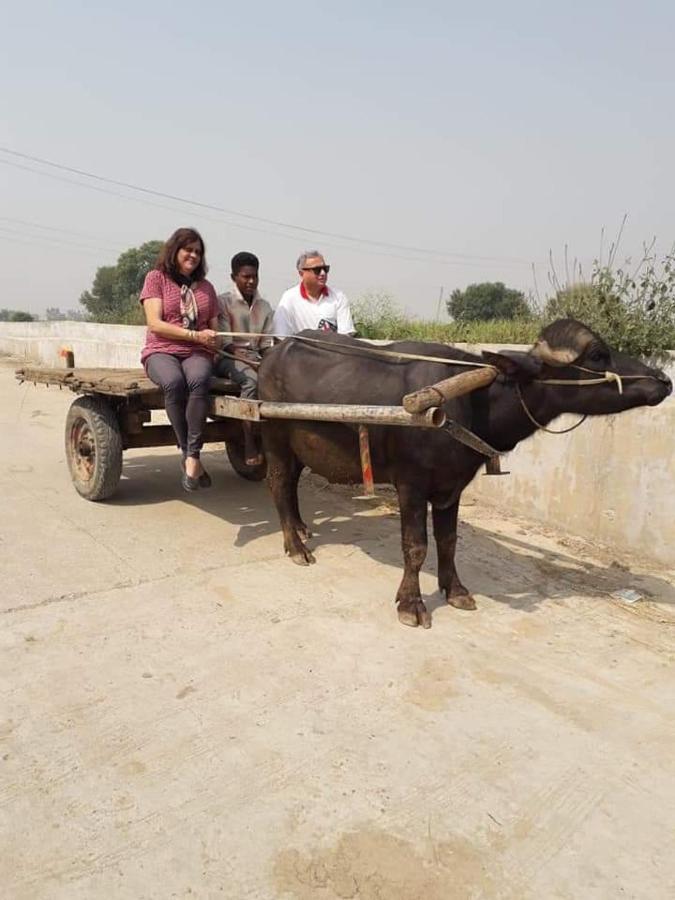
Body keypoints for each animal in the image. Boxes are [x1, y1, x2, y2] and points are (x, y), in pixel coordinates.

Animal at [258, 322, 672, 624]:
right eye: (599, 354)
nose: (663, 381)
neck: (469, 403)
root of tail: (273, 351)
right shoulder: (410, 485)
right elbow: (416, 546)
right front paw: (411, 604)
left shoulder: (451, 487)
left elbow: (449, 541)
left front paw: (455, 590)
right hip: (274, 438)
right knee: (278, 485)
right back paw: (296, 548)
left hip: (298, 447)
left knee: (291, 486)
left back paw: (300, 530)